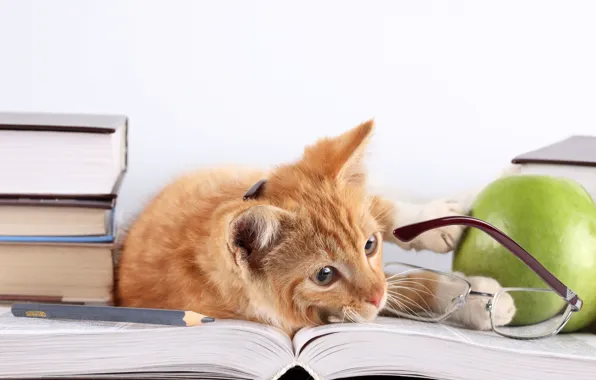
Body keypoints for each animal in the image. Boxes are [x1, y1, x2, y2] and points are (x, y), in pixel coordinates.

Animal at [114, 119, 516, 336]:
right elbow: (398, 292)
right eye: (324, 275)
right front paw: (481, 301)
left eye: (370, 245)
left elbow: (381, 213)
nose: (376, 295)